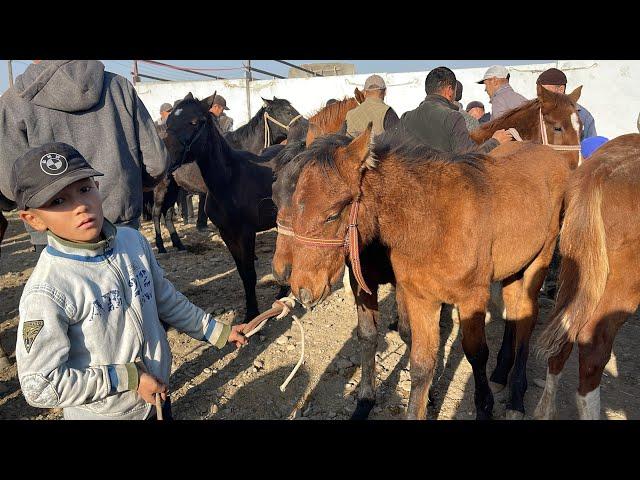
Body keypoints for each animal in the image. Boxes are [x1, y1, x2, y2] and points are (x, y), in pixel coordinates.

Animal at [164, 92, 296, 320]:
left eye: (195, 122)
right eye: (169, 121)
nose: (167, 158)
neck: (229, 181)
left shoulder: (246, 233)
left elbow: (250, 272)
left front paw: (252, 313)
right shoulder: (227, 233)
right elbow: (242, 273)